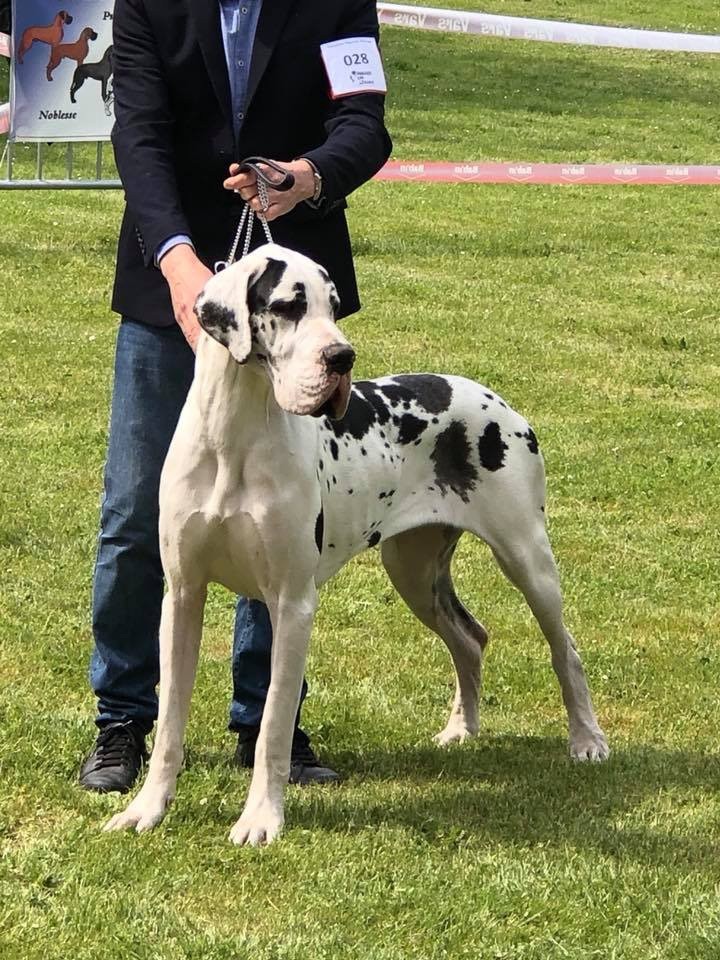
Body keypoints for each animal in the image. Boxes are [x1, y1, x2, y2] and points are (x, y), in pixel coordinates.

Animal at [105, 244, 609, 846]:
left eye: (335, 304)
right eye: (289, 305)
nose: (342, 358)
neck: (235, 434)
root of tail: (497, 399)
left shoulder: (293, 604)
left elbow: (274, 723)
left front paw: (261, 818)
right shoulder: (182, 595)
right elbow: (169, 722)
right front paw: (146, 809)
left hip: (526, 556)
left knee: (565, 649)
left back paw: (587, 740)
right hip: (412, 570)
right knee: (470, 638)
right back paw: (461, 728)